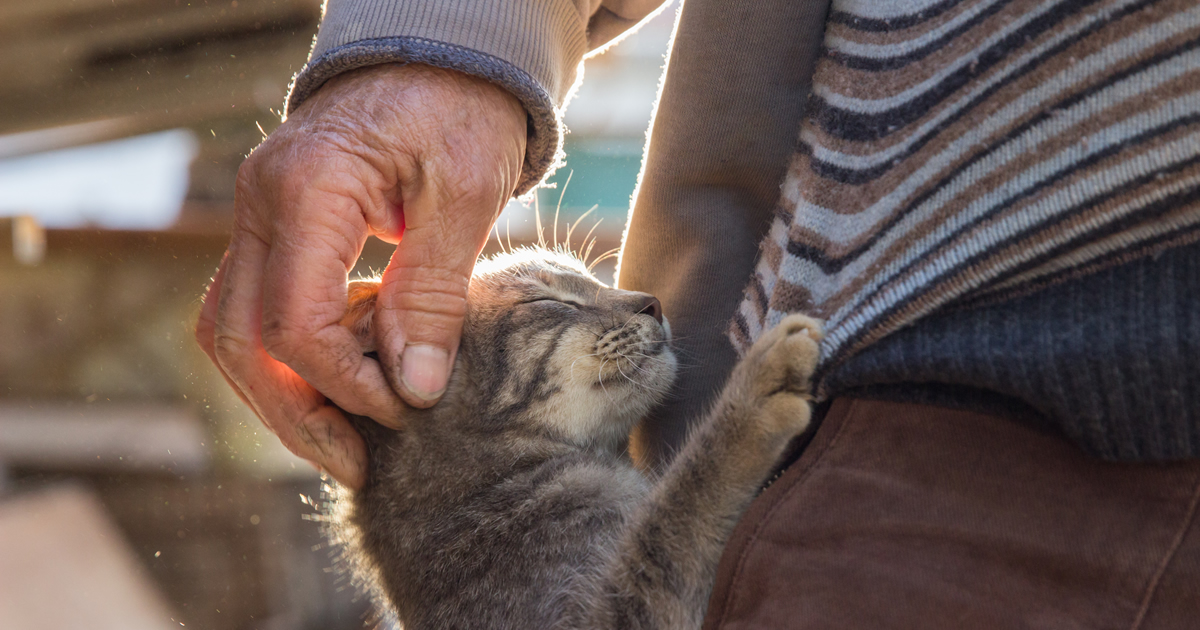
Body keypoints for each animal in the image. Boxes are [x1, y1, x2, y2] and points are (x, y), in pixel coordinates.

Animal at [333, 248, 820, 628]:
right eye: (549, 300)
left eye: (592, 279)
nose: (653, 303)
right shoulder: (596, 617)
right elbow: (679, 510)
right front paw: (752, 395)